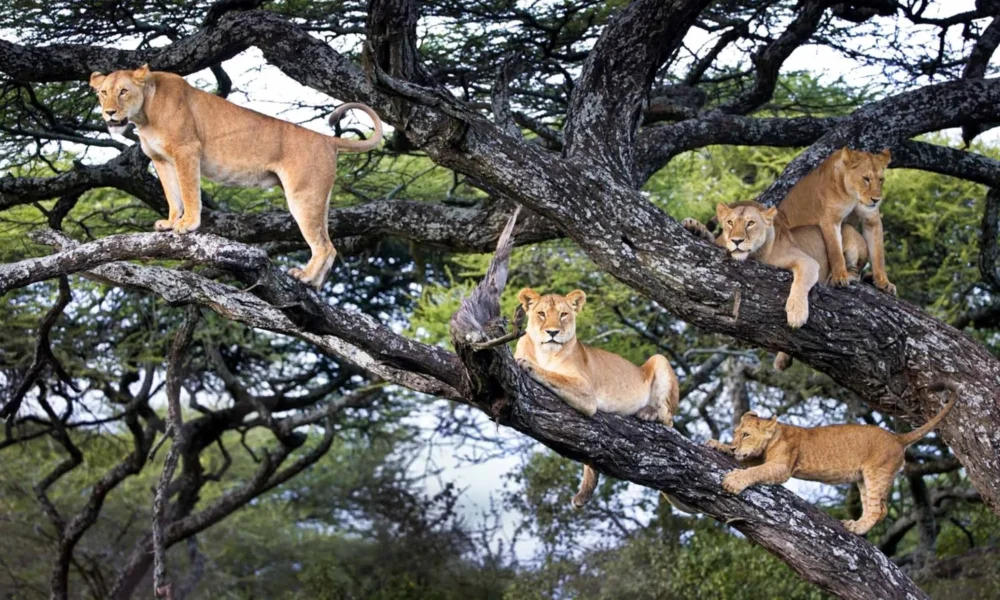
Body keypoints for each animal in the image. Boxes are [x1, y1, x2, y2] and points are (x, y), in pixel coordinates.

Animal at [89, 64, 383, 289]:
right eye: (103, 92)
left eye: (123, 91)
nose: (109, 112)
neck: (144, 115)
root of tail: (326, 139)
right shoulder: (162, 161)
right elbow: (173, 195)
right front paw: (171, 222)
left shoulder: (187, 150)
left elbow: (188, 191)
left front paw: (187, 224)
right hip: (319, 197)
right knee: (330, 245)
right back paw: (314, 285)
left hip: (303, 195)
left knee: (323, 245)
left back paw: (305, 277)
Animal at [514, 288, 679, 508]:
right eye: (541, 314)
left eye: (563, 315)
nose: (552, 332)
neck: (545, 353)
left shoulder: (586, 391)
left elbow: (554, 376)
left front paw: (528, 365)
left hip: (659, 359)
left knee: (668, 420)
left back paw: (648, 412)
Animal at [682, 201, 868, 369]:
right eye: (730, 222)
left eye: (750, 223)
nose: (736, 240)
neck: (755, 256)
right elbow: (712, 239)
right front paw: (695, 227)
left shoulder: (807, 261)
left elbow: (800, 283)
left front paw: (796, 314)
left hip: (849, 236)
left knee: (856, 270)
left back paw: (843, 278)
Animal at [707, 381, 958, 535]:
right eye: (736, 433)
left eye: (746, 435)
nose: (734, 446)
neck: (775, 435)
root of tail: (897, 437)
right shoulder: (762, 458)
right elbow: (747, 462)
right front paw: (718, 445)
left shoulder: (782, 467)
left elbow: (754, 470)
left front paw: (733, 480)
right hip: (862, 478)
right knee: (877, 508)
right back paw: (856, 524)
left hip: (877, 472)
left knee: (879, 510)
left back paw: (857, 528)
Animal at [778, 147, 895, 294]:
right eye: (866, 179)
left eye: (881, 180)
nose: (876, 200)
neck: (853, 196)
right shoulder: (831, 219)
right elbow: (835, 252)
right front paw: (839, 278)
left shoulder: (872, 220)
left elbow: (879, 255)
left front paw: (884, 283)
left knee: (857, 272)